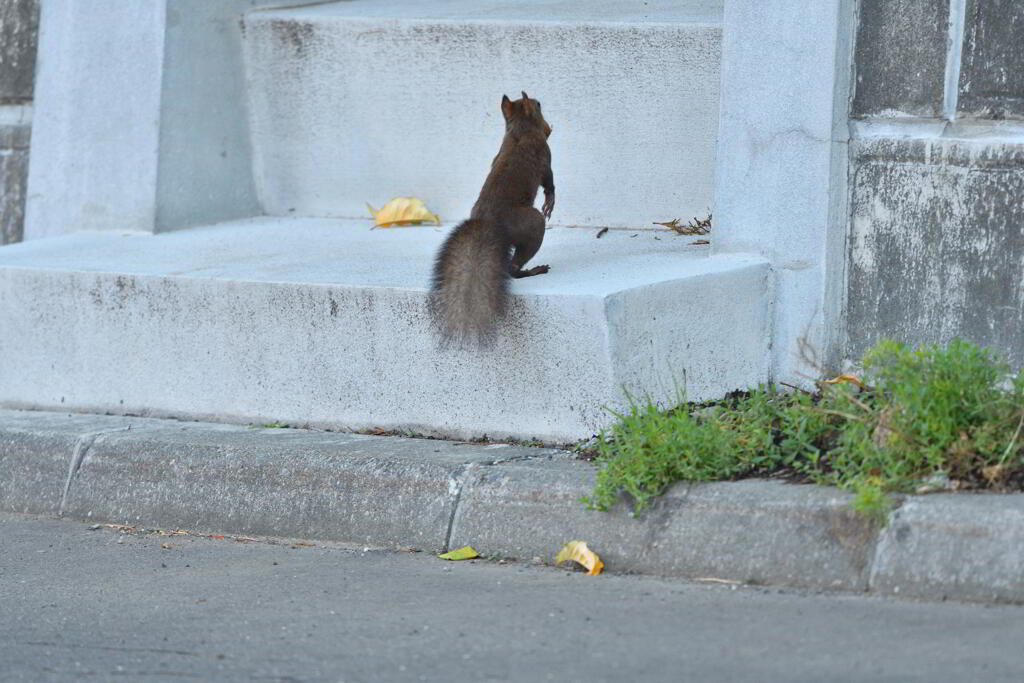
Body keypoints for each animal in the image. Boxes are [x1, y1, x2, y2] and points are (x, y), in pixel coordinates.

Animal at [425, 92, 552, 348]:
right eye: (538, 104)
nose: (549, 127)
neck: (519, 129)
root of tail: (488, 223)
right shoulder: (544, 154)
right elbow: (549, 181)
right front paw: (550, 201)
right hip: (533, 225)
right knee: (513, 268)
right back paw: (534, 270)